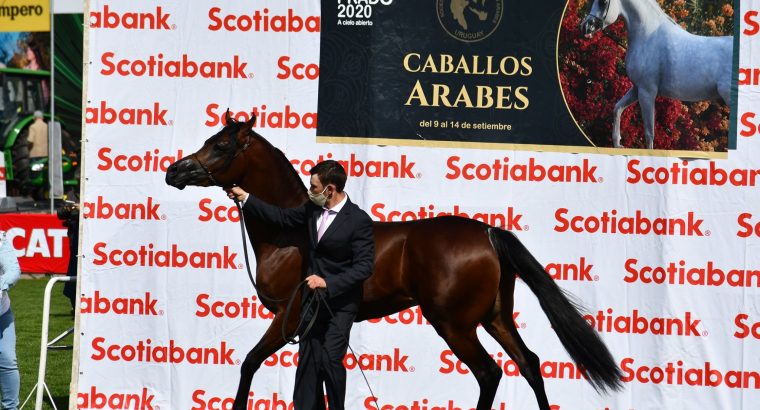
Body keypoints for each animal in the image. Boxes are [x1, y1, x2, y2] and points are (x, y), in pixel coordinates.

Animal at [163, 112, 620, 410]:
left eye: (221, 145)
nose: (174, 172)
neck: (290, 236)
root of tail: (488, 233)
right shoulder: (316, 324)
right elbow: (318, 377)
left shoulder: (288, 318)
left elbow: (250, 363)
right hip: (495, 317)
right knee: (530, 364)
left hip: (454, 324)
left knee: (490, 374)